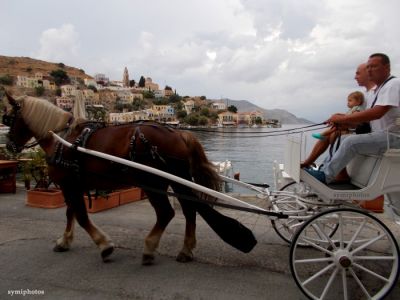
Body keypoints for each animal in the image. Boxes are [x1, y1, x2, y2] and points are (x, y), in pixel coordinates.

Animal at [2, 94, 256, 264]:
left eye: (9, 118)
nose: (10, 145)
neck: (61, 139)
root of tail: (178, 132)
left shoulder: (69, 184)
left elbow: (81, 216)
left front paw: (104, 246)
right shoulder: (73, 184)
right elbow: (71, 213)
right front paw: (64, 241)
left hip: (154, 182)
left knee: (167, 213)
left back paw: (149, 248)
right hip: (176, 180)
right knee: (189, 209)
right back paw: (185, 250)